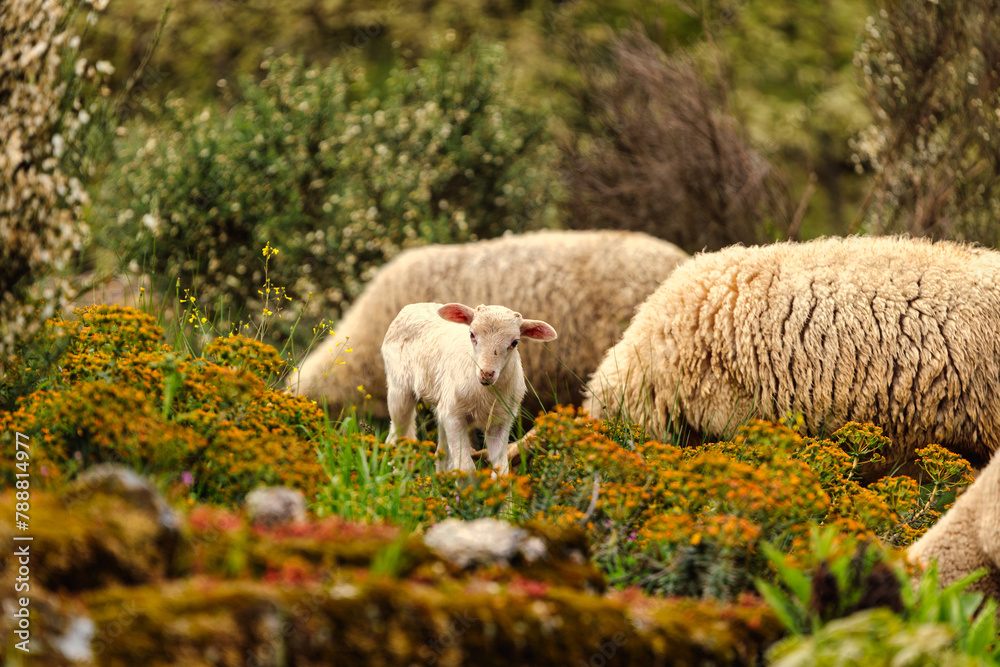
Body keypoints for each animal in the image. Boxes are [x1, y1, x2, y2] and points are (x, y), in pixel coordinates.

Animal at [382, 302, 557, 475]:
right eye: (472, 334)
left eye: (515, 342)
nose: (487, 373)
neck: (485, 392)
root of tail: (415, 305)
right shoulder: (454, 416)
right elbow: (466, 468)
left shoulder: (500, 421)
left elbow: (501, 469)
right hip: (399, 389)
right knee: (396, 436)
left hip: (442, 404)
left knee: (441, 453)